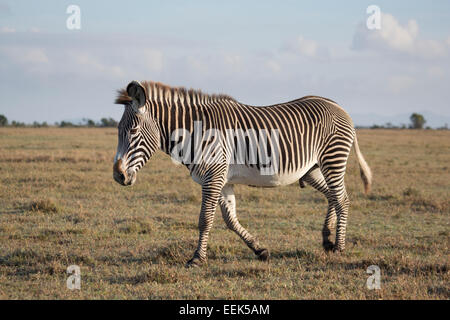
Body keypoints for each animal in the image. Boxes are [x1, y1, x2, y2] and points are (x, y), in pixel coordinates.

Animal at [113, 80, 372, 268]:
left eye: (134, 130)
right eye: (117, 131)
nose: (118, 176)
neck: (195, 132)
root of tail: (338, 106)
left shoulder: (213, 176)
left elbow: (205, 219)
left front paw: (197, 258)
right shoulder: (221, 180)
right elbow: (230, 220)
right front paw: (260, 250)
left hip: (332, 159)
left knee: (342, 199)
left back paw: (339, 247)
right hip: (312, 169)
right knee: (332, 196)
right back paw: (327, 239)